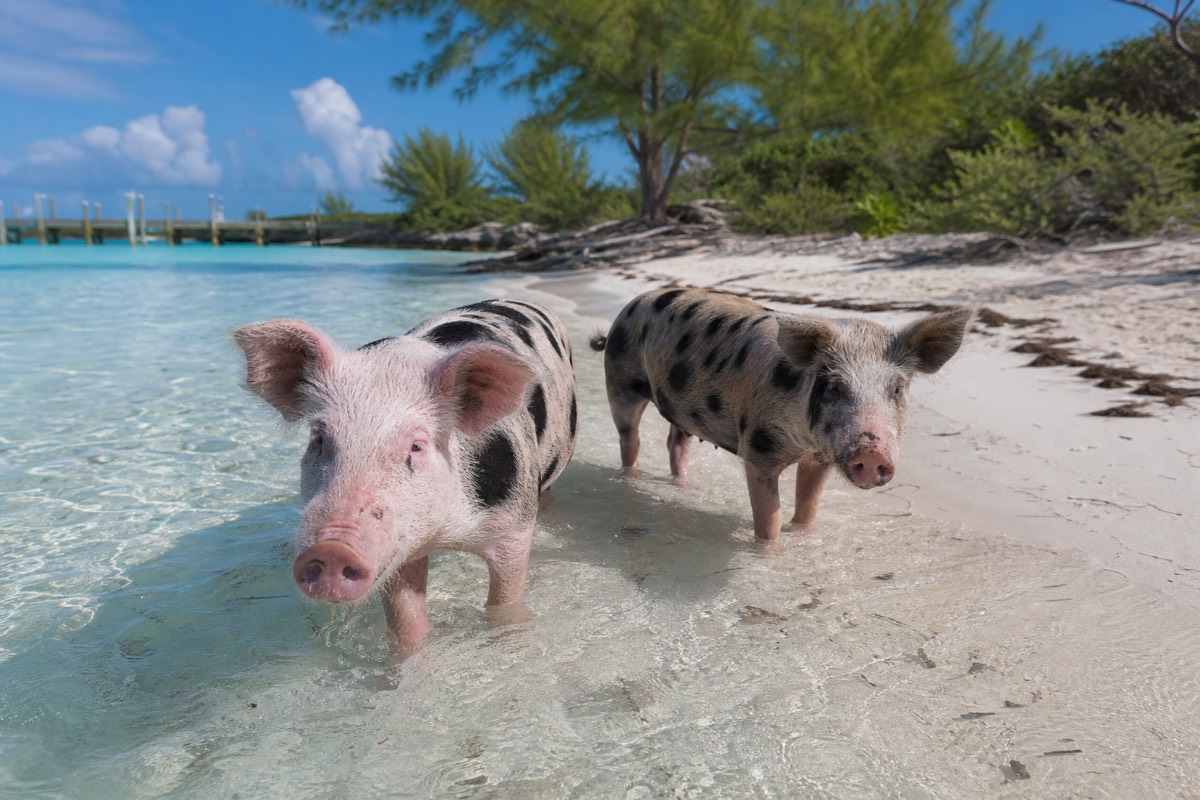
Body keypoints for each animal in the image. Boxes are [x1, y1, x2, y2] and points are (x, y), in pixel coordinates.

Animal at [234, 299, 578, 649]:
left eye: (416, 446)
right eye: (319, 438)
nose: (331, 548)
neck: (446, 532)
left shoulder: (514, 527)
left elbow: (504, 602)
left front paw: (508, 634)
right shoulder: (398, 547)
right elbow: (407, 623)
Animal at [589, 287, 971, 540]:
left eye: (897, 389)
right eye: (834, 386)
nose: (872, 451)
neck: (802, 441)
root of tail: (631, 306)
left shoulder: (819, 457)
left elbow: (808, 507)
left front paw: (799, 533)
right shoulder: (759, 448)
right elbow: (768, 519)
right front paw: (769, 550)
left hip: (680, 406)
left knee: (675, 443)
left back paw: (686, 484)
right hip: (619, 381)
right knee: (629, 438)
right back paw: (629, 478)